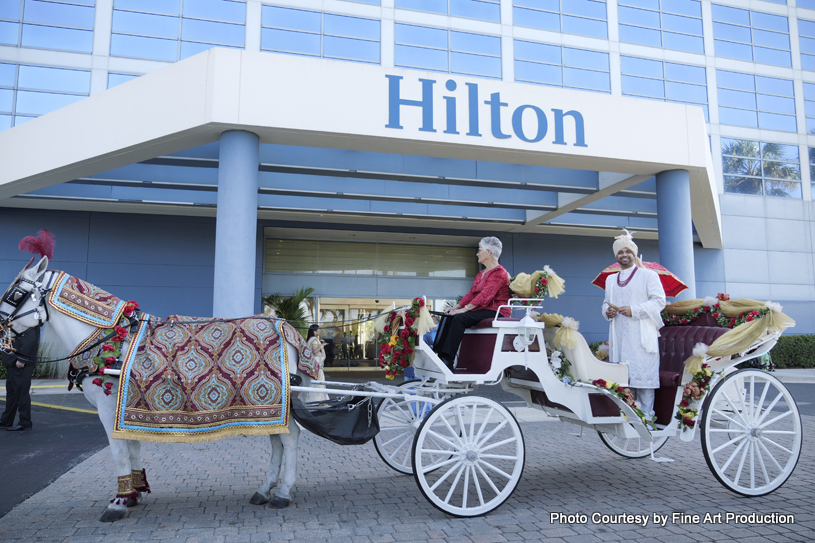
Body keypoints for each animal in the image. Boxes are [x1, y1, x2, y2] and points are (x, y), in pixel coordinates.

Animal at [0, 258, 310, 524]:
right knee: (278, 440)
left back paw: (283, 493)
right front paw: (134, 492)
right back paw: (265, 489)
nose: (1, 329)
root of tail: (286, 326)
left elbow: (119, 453)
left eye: (16, 294)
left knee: (291, 437)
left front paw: (118, 502)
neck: (110, 339)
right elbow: (132, 447)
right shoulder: (126, 407)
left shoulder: (108, 409)